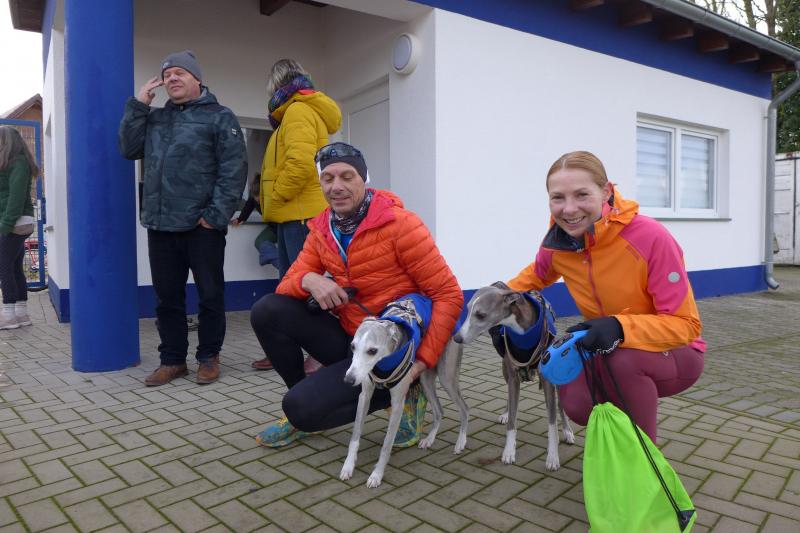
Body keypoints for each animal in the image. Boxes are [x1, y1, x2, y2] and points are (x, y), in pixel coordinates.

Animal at [340, 295, 469, 488]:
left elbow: (387, 444)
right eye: (353, 346)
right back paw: (429, 439)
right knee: (439, 410)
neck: (383, 364)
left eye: (372, 350)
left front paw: (376, 475)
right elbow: (355, 436)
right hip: (425, 379)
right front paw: (348, 467)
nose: (348, 380)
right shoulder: (365, 395)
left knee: (464, 408)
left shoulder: (398, 403)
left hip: (447, 377)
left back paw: (461, 441)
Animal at [454, 282, 574, 470]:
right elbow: (512, 419)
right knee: (510, 400)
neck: (523, 333)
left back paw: (568, 431)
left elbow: (552, 423)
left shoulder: (547, 382)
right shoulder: (513, 378)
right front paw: (509, 451)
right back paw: (505, 413)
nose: (457, 338)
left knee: (560, 405)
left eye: (480, 315)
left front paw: (553, 457)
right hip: (505, 370)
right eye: (467, 310)